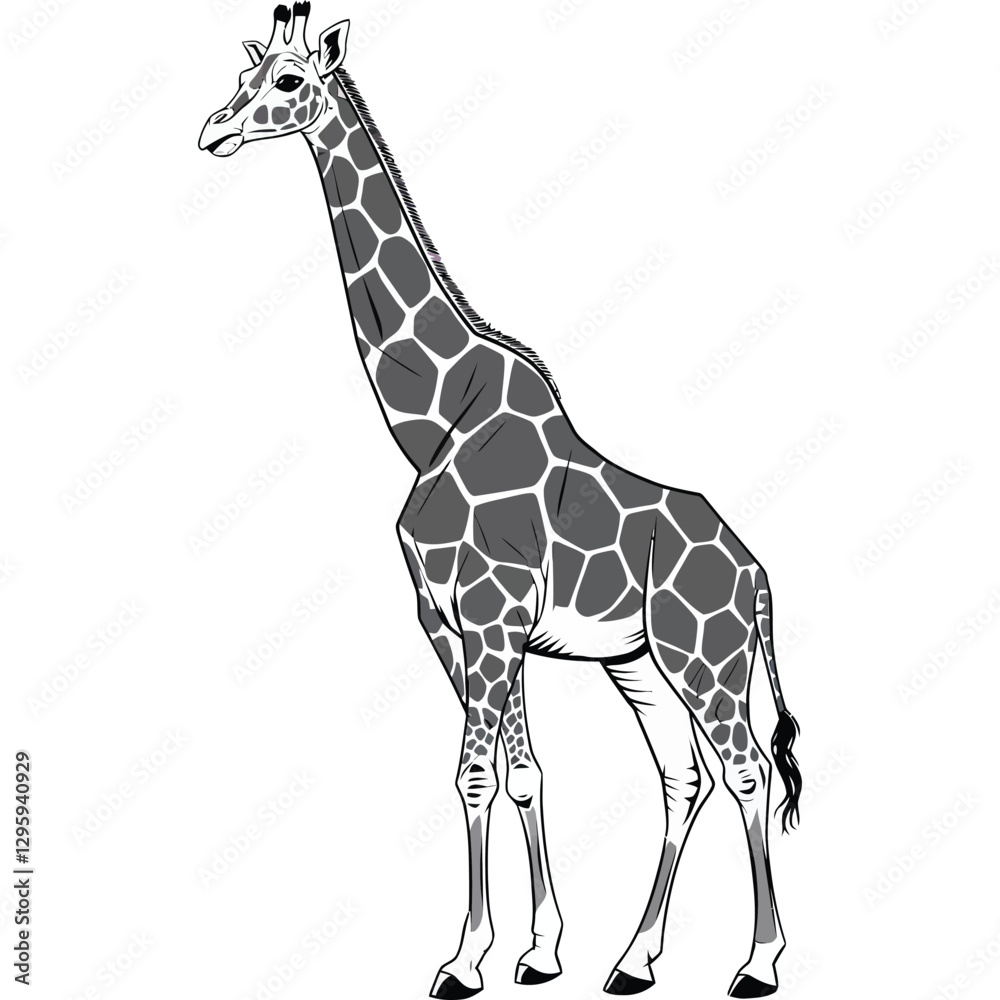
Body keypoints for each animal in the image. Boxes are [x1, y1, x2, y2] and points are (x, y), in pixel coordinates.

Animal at [199, 7, 803, 998]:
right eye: (244, 77)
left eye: (288, 82)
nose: (213, 131)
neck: (432, 419)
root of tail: (755, 574)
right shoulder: (451, 622)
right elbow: (520, 774)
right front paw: (540, 949)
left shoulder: (490, 619)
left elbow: (477, 776)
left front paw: (462, 960)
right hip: (636, 662)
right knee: (685, 776)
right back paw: (633, 961)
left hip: (704, 653)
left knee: (747, 770)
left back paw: (756, 963)